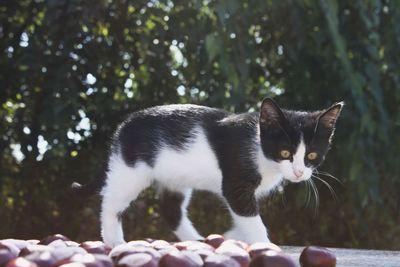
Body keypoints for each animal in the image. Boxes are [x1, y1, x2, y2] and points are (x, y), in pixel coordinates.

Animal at [70, 98, 342, 247]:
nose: (298, 173)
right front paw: (264, 245)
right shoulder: (235, 184)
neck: (259, 146)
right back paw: (113, 239)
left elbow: (243, 217)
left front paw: (231, 235)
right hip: (131, 170)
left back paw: (195, 239)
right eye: (285, 152)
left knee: (171, 208)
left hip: (175, 178)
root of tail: (122, 127)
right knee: (111, 200)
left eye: (312, 156)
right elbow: (249, 216)